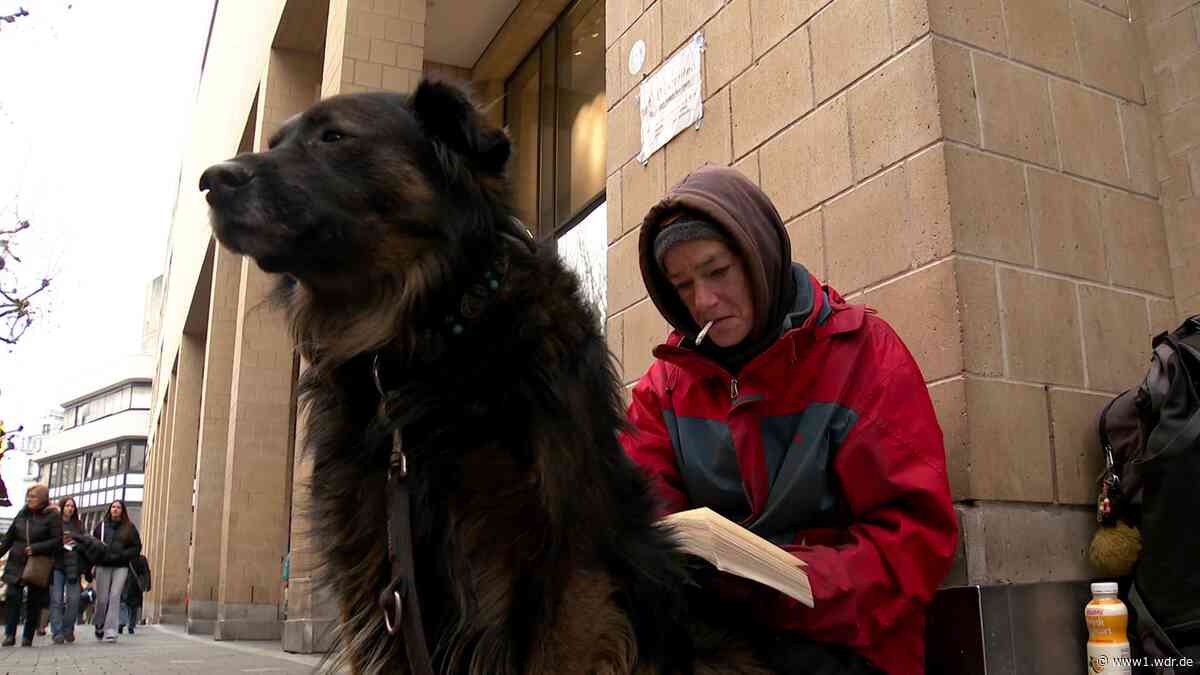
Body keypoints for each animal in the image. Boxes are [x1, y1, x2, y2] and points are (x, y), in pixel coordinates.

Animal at [200, 79, 772, 672]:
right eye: (275, 141)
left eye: (334, 136)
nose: (211, 180)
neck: (428, 344)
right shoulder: (375, 567)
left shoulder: (564, 568)